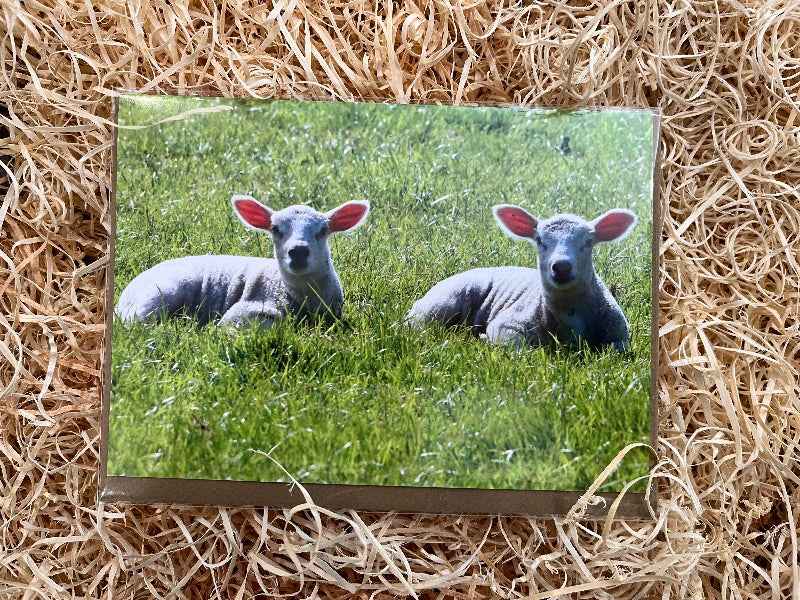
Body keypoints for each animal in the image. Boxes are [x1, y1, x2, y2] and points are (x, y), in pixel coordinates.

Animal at [115, 195, 370, 328]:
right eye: (275, 229)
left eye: (323, 231)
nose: (298, 252)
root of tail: (122, 300)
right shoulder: (248, 306)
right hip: (157, 297)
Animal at [405, 204, 638, 352]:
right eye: (540, 241)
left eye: (588, 242)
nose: (561, 267)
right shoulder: (507, 325)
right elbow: (521, 351)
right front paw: (485, 339)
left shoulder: (620, 337)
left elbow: (615, 350)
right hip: (439, 306)